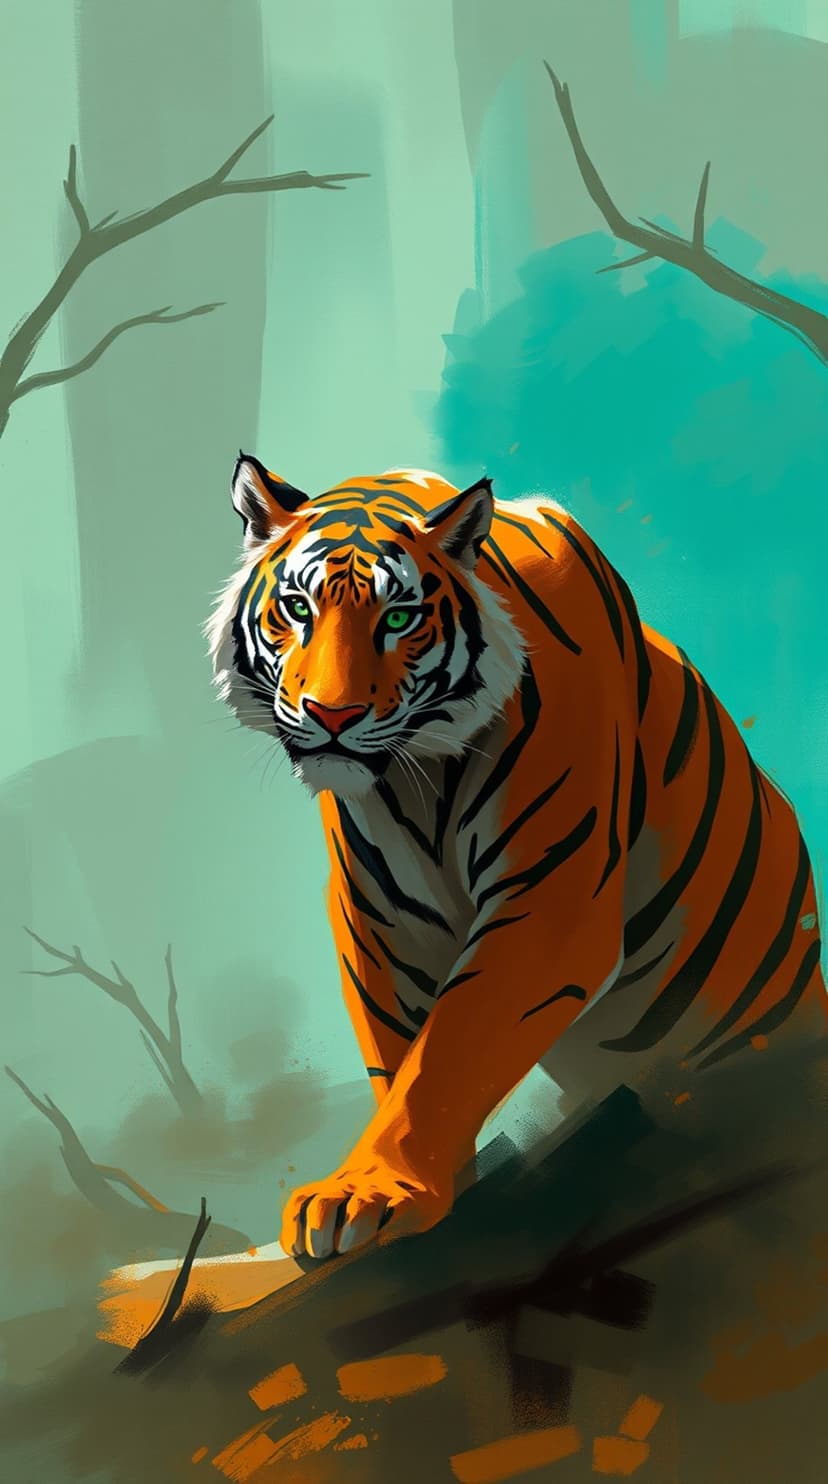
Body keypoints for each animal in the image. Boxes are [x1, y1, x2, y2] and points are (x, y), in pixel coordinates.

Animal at [207, 454, 827, 1261]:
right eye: (296, 608)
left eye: (398, 618)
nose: (331, 716)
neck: (418, 780)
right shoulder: (380, 923)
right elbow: (400, 1061)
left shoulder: (551, 899)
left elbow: (447, 1055)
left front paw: (368, 1192)